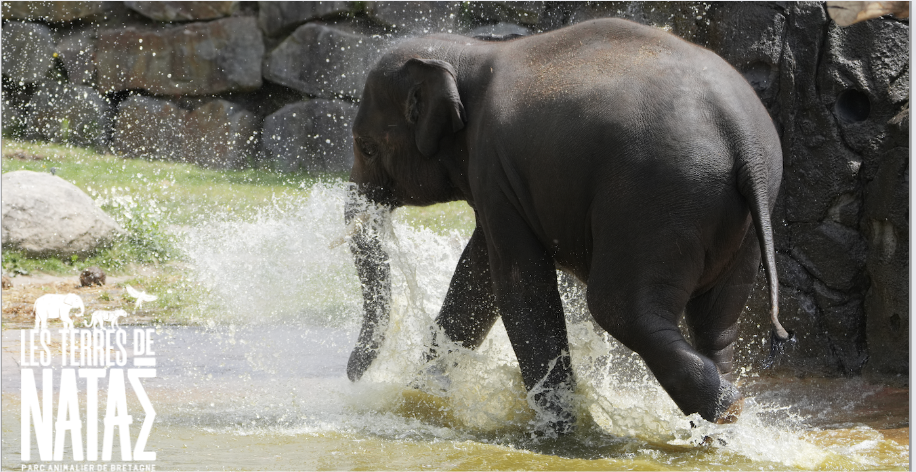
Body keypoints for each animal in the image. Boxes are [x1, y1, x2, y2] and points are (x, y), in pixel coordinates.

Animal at [344, 18, 796, 434]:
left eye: (366, 147)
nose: (352, 374)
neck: (470, 52)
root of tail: (742, 139)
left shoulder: (493, 167)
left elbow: (519, 286)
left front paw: (554, 429)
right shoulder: (501, 183)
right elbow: (475, 281)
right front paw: (418, 397)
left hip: (657, 201)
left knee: (620, 310)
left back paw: (726, 409)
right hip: (743, 219)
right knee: (717, 321)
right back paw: (720, 429)